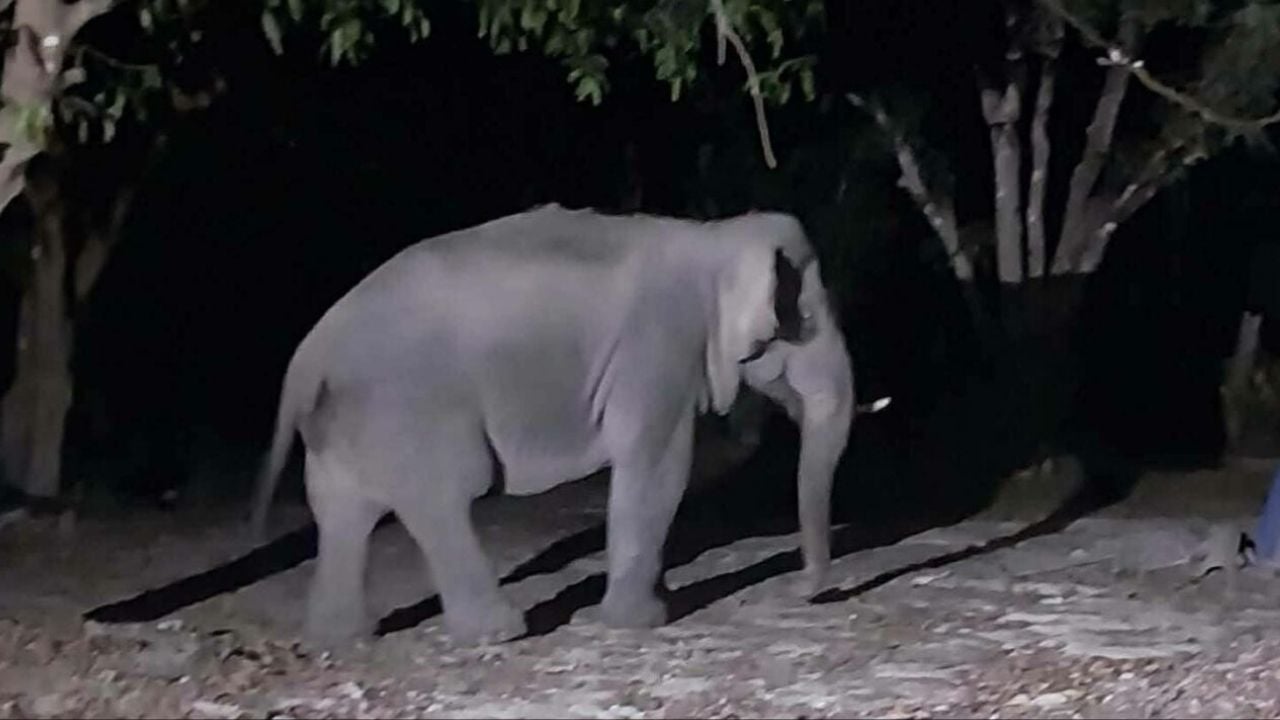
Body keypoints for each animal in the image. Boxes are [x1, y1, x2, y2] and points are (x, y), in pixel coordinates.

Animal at [251, 203, 860, 646]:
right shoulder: (659, 348)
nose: (793, 590)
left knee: (341, 512)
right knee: (443, 496)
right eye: (806, 319)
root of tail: (310, 350)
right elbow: (657, 465)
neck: (717, 237)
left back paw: (341, 640)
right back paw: (499, 632)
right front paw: (642, 621)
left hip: (344, 422)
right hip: (410, 406)